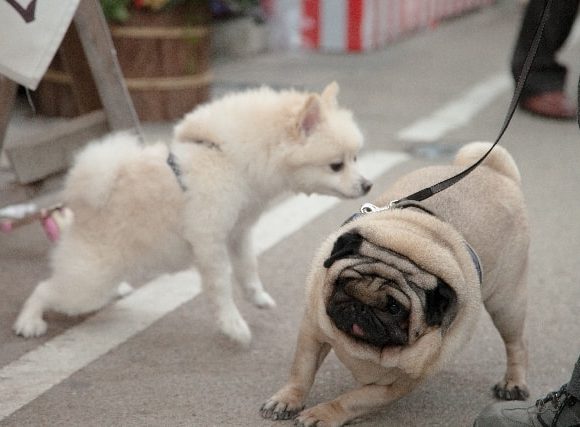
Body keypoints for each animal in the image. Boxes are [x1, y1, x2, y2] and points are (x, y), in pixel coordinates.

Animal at [260, 144, 528, 427]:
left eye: (394, 308)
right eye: (345, 285)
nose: (361, 306)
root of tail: (496, 172)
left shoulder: (395, 385)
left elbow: (350, 401)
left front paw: (322, 413)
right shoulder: (312, 330)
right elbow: (302, 370)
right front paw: (287, 399)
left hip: (507, 303)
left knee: (516, 344)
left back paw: (513, 383)